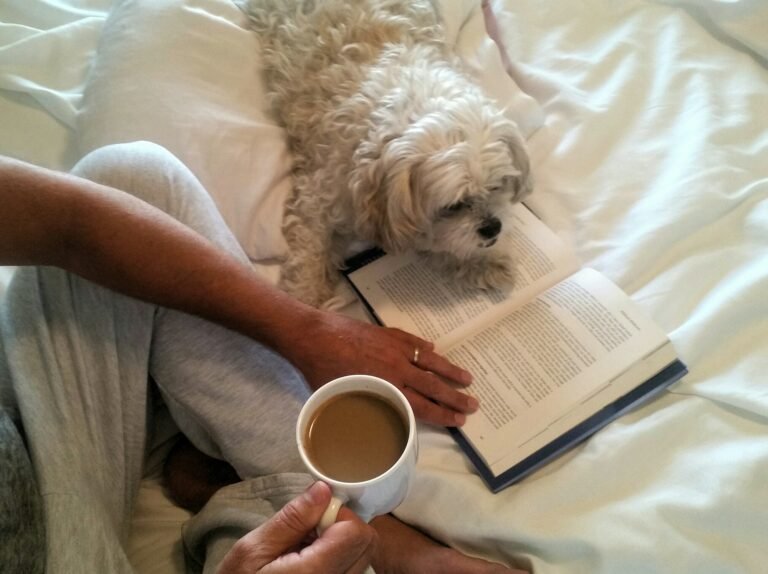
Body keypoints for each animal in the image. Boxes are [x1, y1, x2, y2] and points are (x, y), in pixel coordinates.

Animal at [248, 0, 536, 310]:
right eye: (453, 206)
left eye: (497, 186)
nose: (493, 227)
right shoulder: (317, 198)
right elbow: (308, 254)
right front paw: (304, 301)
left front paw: (482, 262)